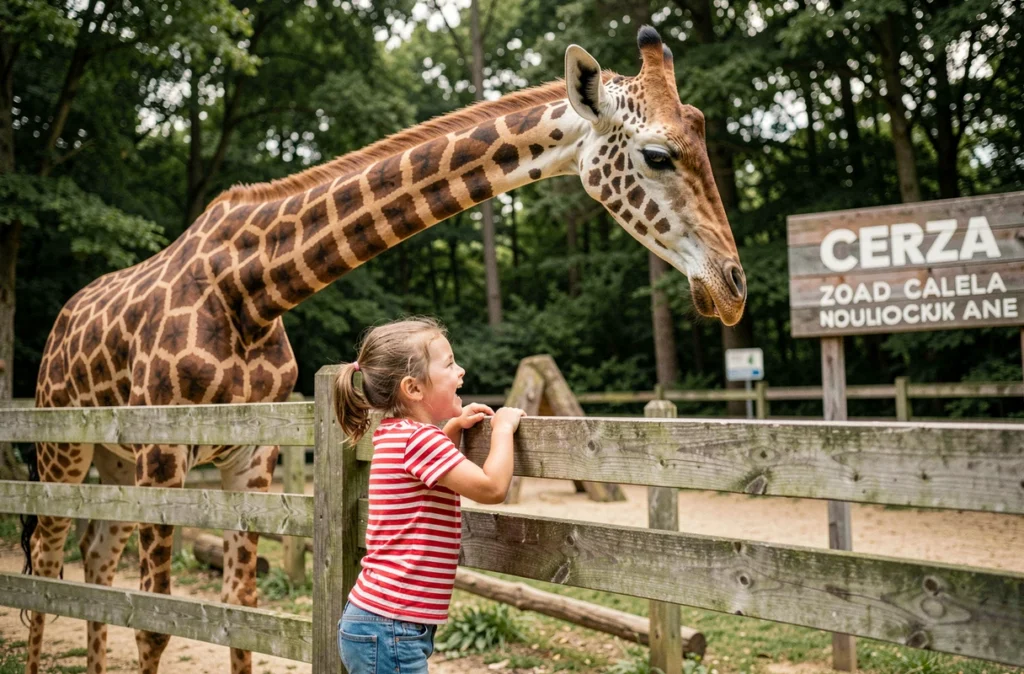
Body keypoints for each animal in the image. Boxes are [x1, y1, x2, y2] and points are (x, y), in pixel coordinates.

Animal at [24, 26, 745, 674]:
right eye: (658, 155)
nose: (732, 287)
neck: (252, 290)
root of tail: (58, 326)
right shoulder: (163, 450)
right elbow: (155, 626)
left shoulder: (249, 457)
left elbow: (240, 613)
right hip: (67, 450)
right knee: (44, 570)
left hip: (113, 466)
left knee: (93, 561)